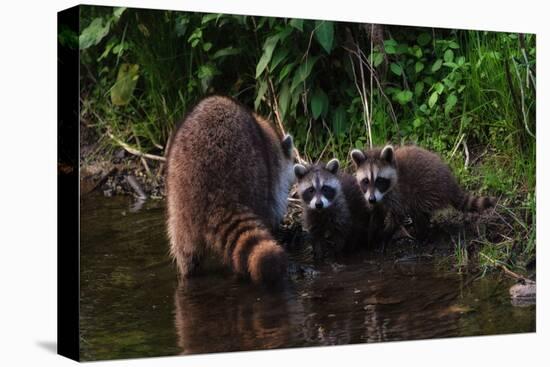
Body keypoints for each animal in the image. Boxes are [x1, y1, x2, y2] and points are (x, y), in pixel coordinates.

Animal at [165, 97, 298, 288]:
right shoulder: (272, 170)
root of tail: (215, 194)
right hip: (254, 177)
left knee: (185, 251)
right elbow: (275, 202)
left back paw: (188, 274)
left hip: (178, 204)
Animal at [352, 145, 498, 246]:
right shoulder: (376, 198)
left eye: (379, 180)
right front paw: (372, 234)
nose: (372, 199)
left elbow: (397, 215)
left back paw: (422, 234)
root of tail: (450, 182)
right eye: (366, 181)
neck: (384, 193)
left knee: (418, 210)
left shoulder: (399, 193)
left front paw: (385, 235)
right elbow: (377, 213)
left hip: (428, 188)